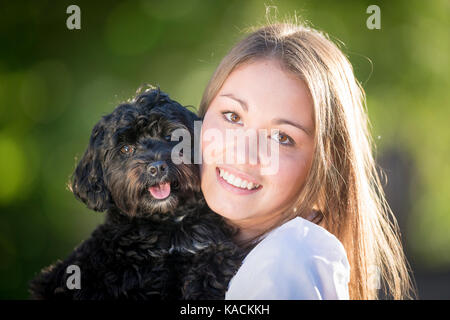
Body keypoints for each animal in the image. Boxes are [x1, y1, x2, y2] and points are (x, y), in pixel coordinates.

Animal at [29, 86, 244, 298]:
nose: (157, 168)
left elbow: (215, 260)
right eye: (125, 149)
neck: (167, 225)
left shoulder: (209, 245)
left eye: (171, 137)